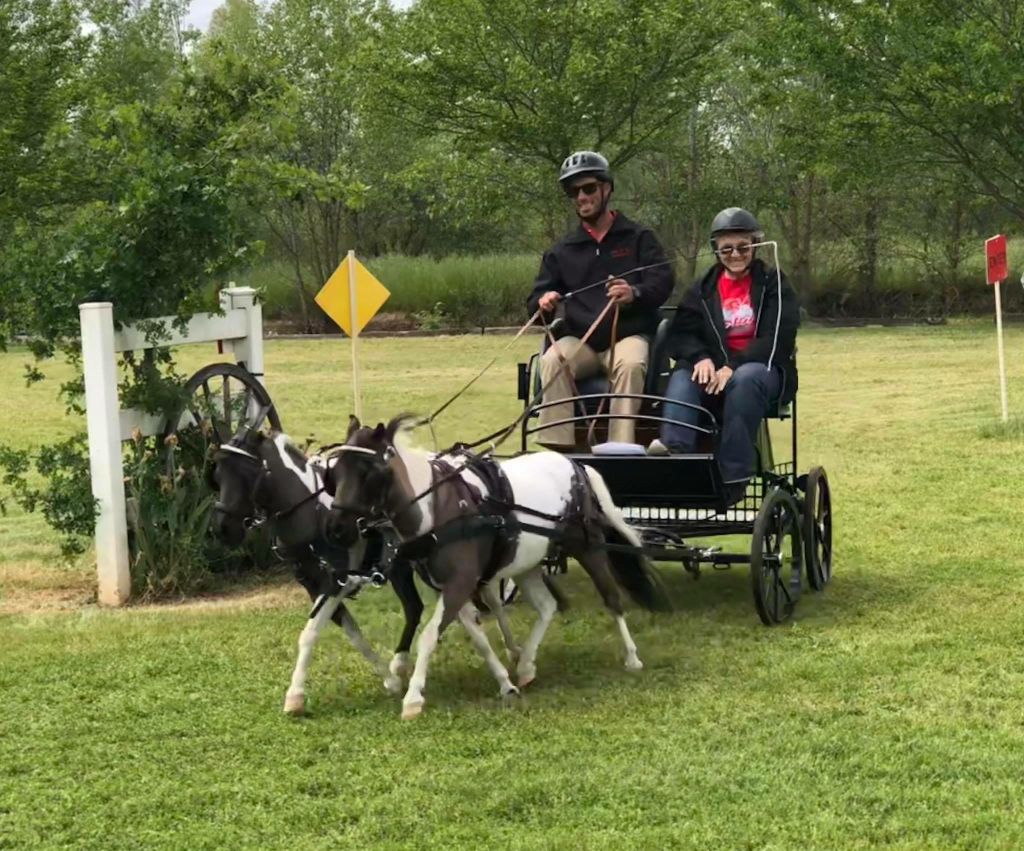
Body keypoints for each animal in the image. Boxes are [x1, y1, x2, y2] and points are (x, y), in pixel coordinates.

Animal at [208, 430, 423, 716]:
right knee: (414, 607)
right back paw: (400, 664)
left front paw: (295, 696)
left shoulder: (336, 583)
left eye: (246, 473)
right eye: (218, 475)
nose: (222, 529)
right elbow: (354, 634)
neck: (312, 514)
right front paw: (390, 680)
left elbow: (309, 633)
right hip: (399, 567)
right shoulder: (313, 586)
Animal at [327, 415, 671, 720]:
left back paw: (632, 657)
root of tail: (576, 464)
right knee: (547, 606)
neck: (439, 509)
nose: (336, 528)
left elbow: (429, 636)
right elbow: (478, 637)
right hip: (527, 561)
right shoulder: (450, 587)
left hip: (588, 546)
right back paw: (527, 665)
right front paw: (506, 683)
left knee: (612, 599)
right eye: (335, 471)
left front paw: (413, 698)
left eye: (369, 472)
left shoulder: (460, 583)